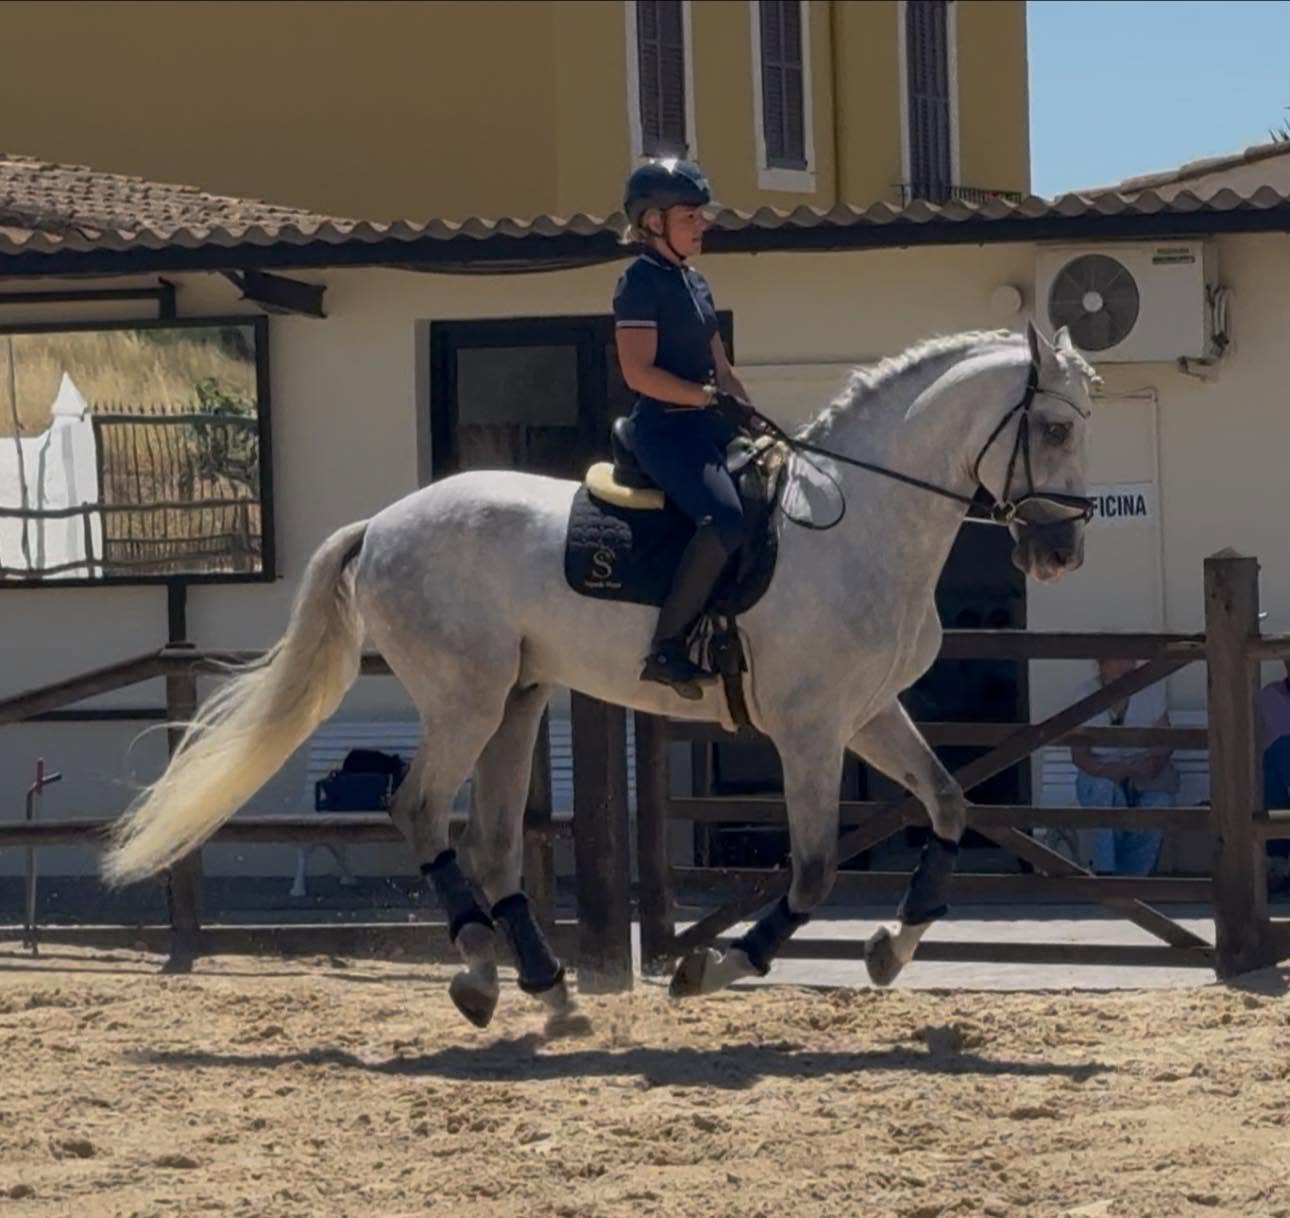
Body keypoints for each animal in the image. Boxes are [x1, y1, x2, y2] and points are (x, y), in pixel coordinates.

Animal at [102, 321, 1099, 1031]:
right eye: (1052, 427)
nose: (1060, 551)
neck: (858, 524)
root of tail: (382, 523)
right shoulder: (810, 729)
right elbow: (814, 872)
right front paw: (711, 968)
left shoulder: (867, 713)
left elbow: (950, 806)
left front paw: (892, 948)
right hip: (464, 698)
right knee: (418, 809)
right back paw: (480, 970)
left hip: (515, 700)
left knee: (493, 842)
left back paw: (545, 988)